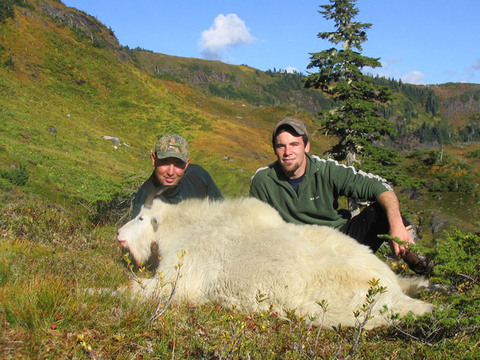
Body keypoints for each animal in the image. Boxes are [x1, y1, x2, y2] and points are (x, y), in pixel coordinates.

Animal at [116, 194, 432, 330]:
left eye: (141, 218)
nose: (119, 234)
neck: (185, 228)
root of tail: (388, 287)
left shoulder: (179, 279)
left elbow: (131, 289)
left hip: (338, 309)